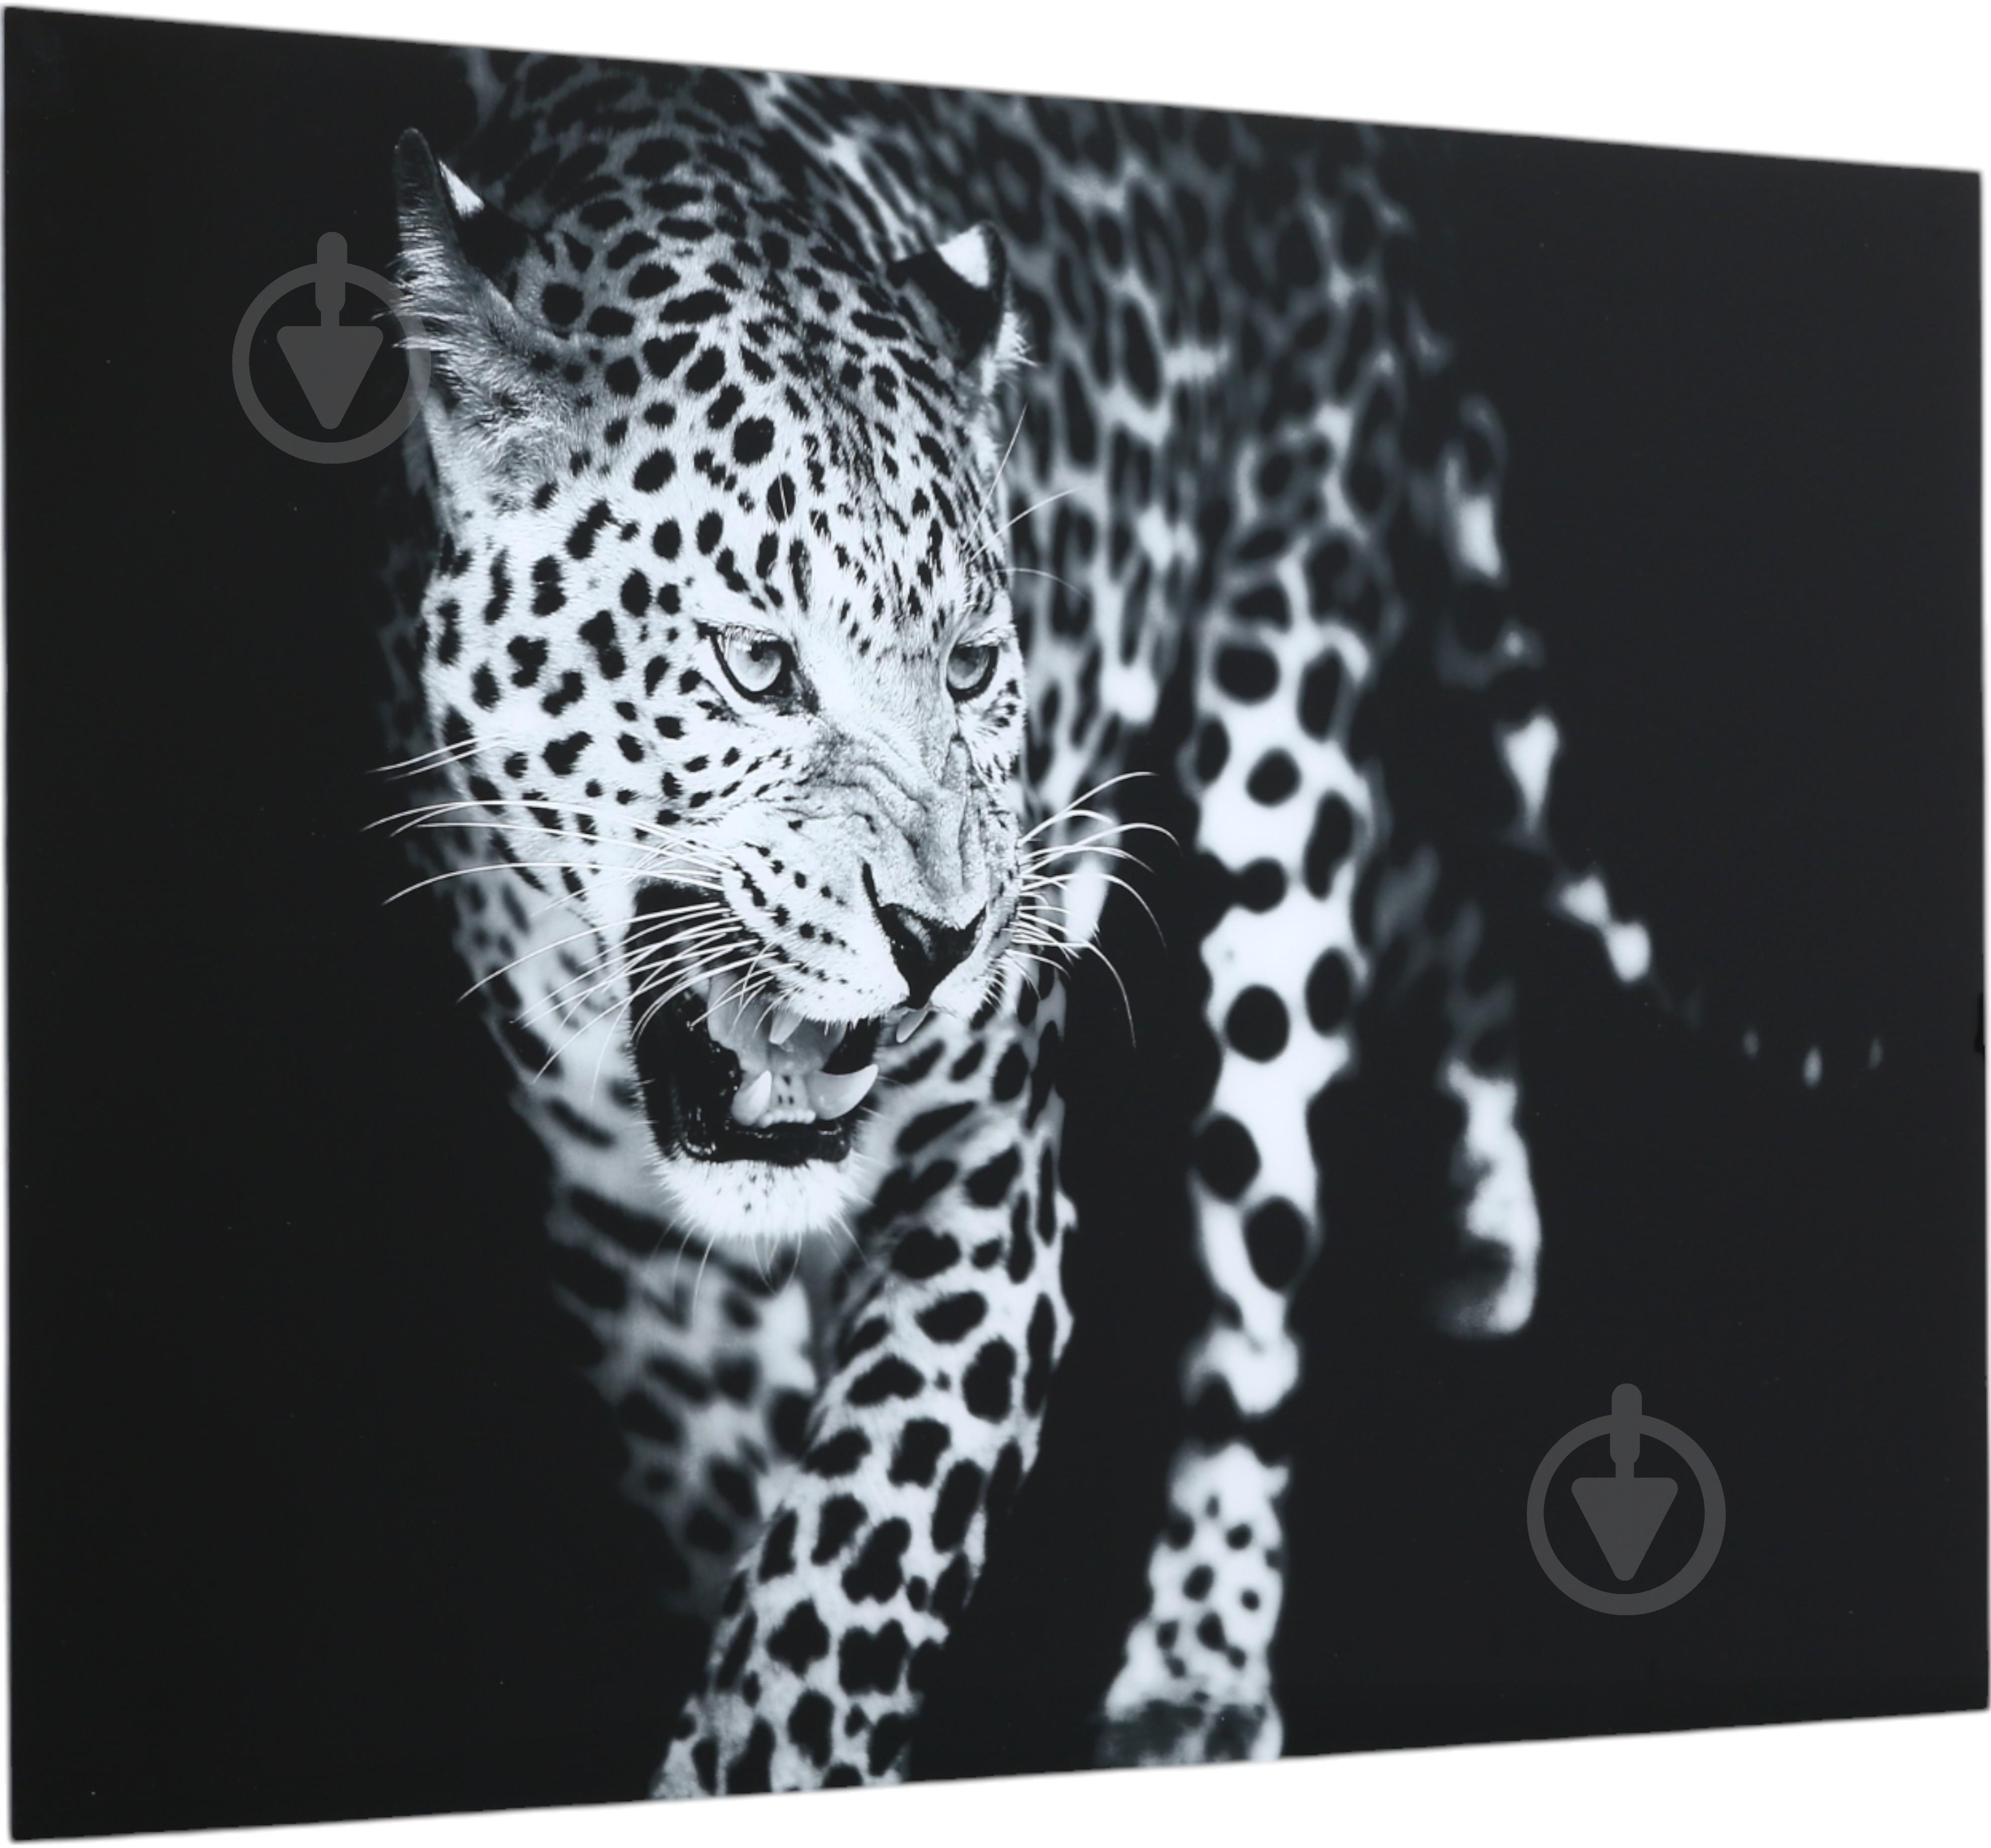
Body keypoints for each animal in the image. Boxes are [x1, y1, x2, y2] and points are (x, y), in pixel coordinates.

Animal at [375, 48, 1713, 1797]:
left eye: (966, 664)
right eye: (756, 664)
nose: (945, 939)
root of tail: (1355, 171)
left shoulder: (992, 1180)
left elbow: (837, 1575)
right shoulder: (623, 1243)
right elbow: (742, 1522)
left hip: (1283, 745)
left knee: (1261, 1256)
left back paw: (1200, 1659)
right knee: (1442, 903)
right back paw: (1485, 1216)